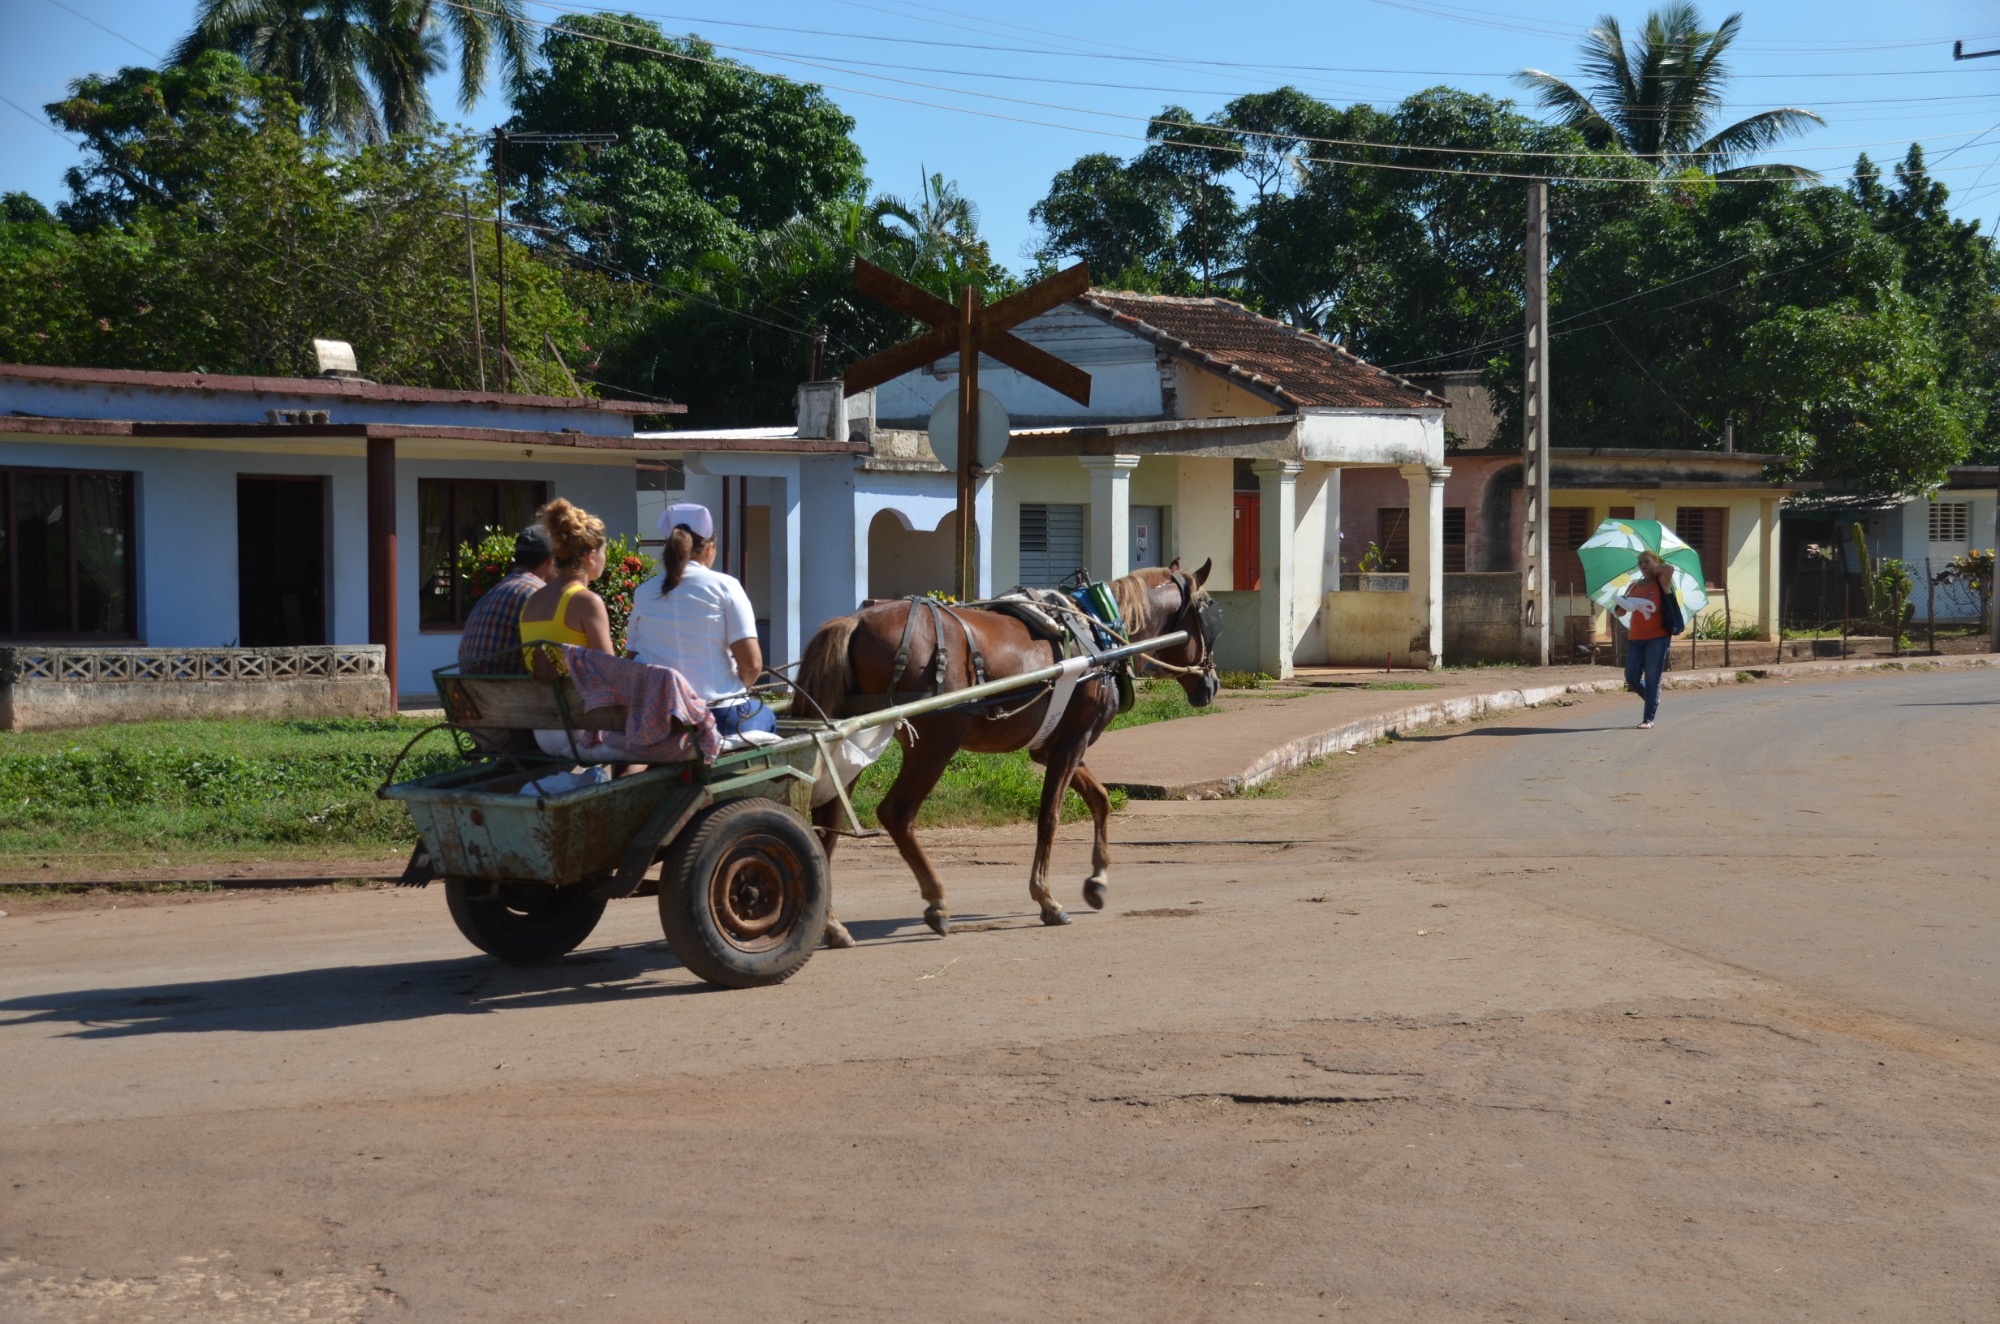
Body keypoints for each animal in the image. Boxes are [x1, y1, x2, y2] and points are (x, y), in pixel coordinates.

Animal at [794, 558, 1220, 944]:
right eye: (1210, 619)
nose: (1212, 684)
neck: (1098, 633)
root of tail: (855, 622)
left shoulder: (1053, 746)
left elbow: (1100, 800)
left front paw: (1097, 880)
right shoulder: (1072, 741)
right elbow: (1050, 817)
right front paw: (1047, 899)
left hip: (851, 739)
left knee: (827, 820)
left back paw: (831, 922)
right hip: (934, 743)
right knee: (895, 813)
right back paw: (935, 901)